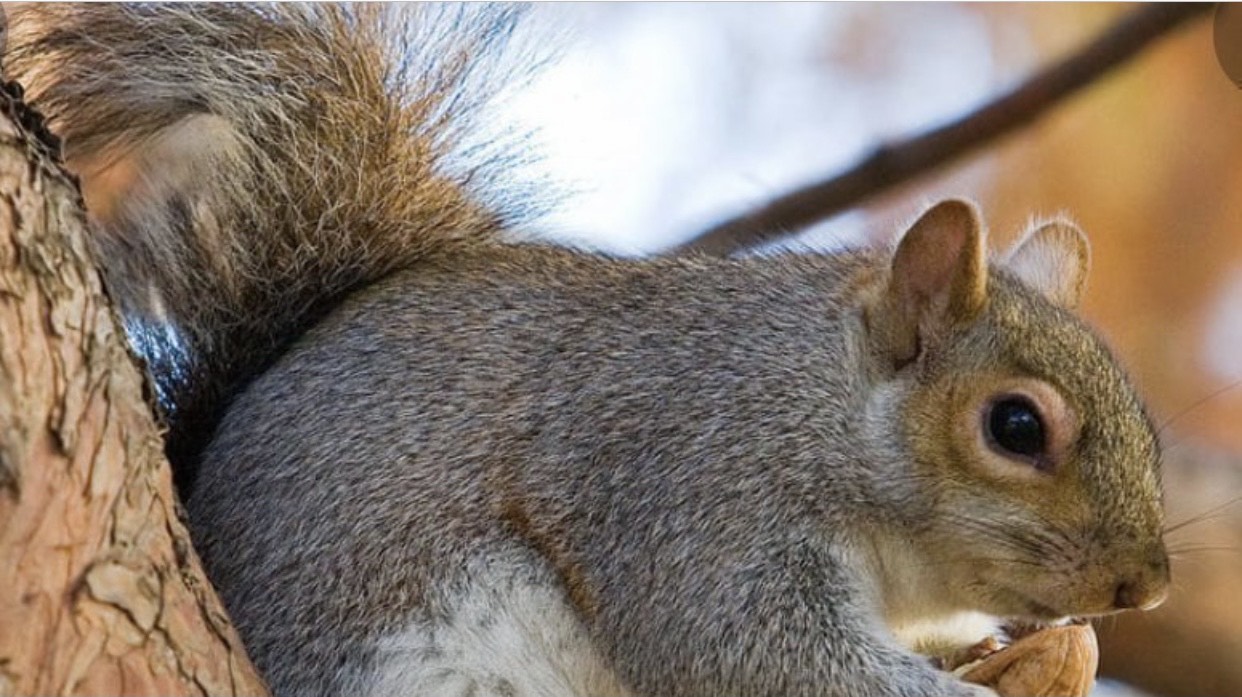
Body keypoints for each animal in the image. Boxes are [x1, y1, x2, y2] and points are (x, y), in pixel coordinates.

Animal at [4, 5, 1172, 695]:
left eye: (1153, 432)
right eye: (1015, 425)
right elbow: (753, 650)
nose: (1146, 588)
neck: (815, 406)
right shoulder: (688, 487)